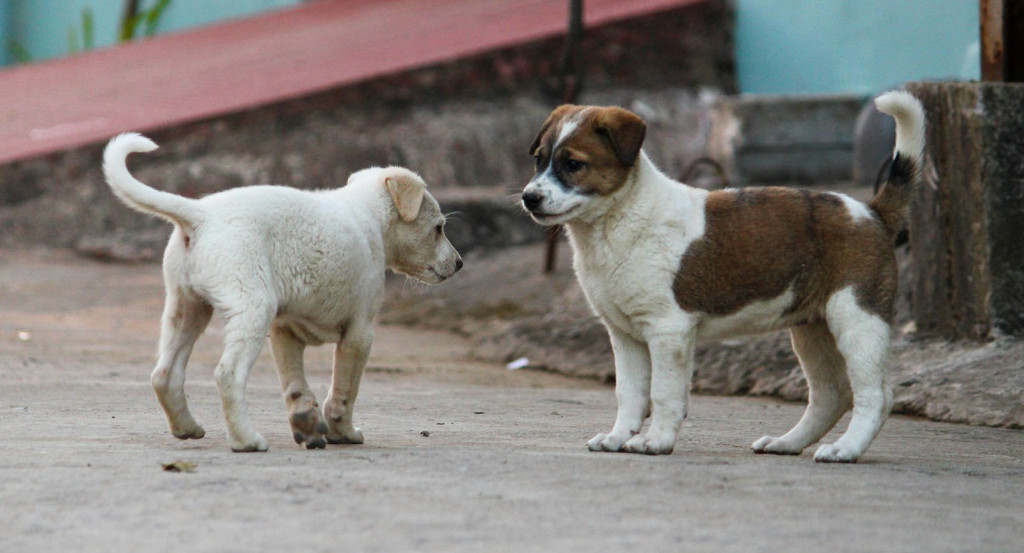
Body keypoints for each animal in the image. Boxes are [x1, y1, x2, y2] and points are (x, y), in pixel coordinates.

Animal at [101, 135, 462, 452]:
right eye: (438, 228)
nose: (459, 264)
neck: (367, 213)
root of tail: (201, 216)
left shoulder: (285, 330)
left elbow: (295, 386)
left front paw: (307, 424)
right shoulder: (359, 334)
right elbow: (344, 390)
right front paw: (343, 433)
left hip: (187, 308)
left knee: (165, 374)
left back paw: (187, 428)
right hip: (251, 307)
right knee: (227, 374)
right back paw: (246, 440)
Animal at [524, 91, 925, 462]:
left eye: (573, 164)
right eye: (539, 160)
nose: (529, 197)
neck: (616, 219)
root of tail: (871, 212)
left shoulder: (668, 330)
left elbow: (664, 393)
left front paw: (656, 441)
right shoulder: (624, 335)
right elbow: (630, 394)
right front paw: (617, 437)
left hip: (857, 318)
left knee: (875, 395)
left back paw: (846, 449)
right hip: (813, 329)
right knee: (831, 394)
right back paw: (786, 443)